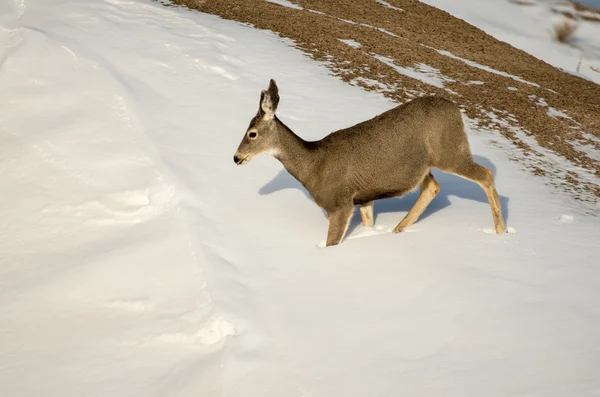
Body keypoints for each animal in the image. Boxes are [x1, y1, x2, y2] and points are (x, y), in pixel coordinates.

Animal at [234, 79, 506, 246]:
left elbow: (331, 242)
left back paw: (501, 231)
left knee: (486, 174)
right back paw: (398, 229)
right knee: (433, 187)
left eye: (252, 134)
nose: (236, 157)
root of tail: (457, 111)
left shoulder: (340, 202)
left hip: (449, 151)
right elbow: (368, 224)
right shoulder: (363, 198)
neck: (314, 166)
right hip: (425, 164)